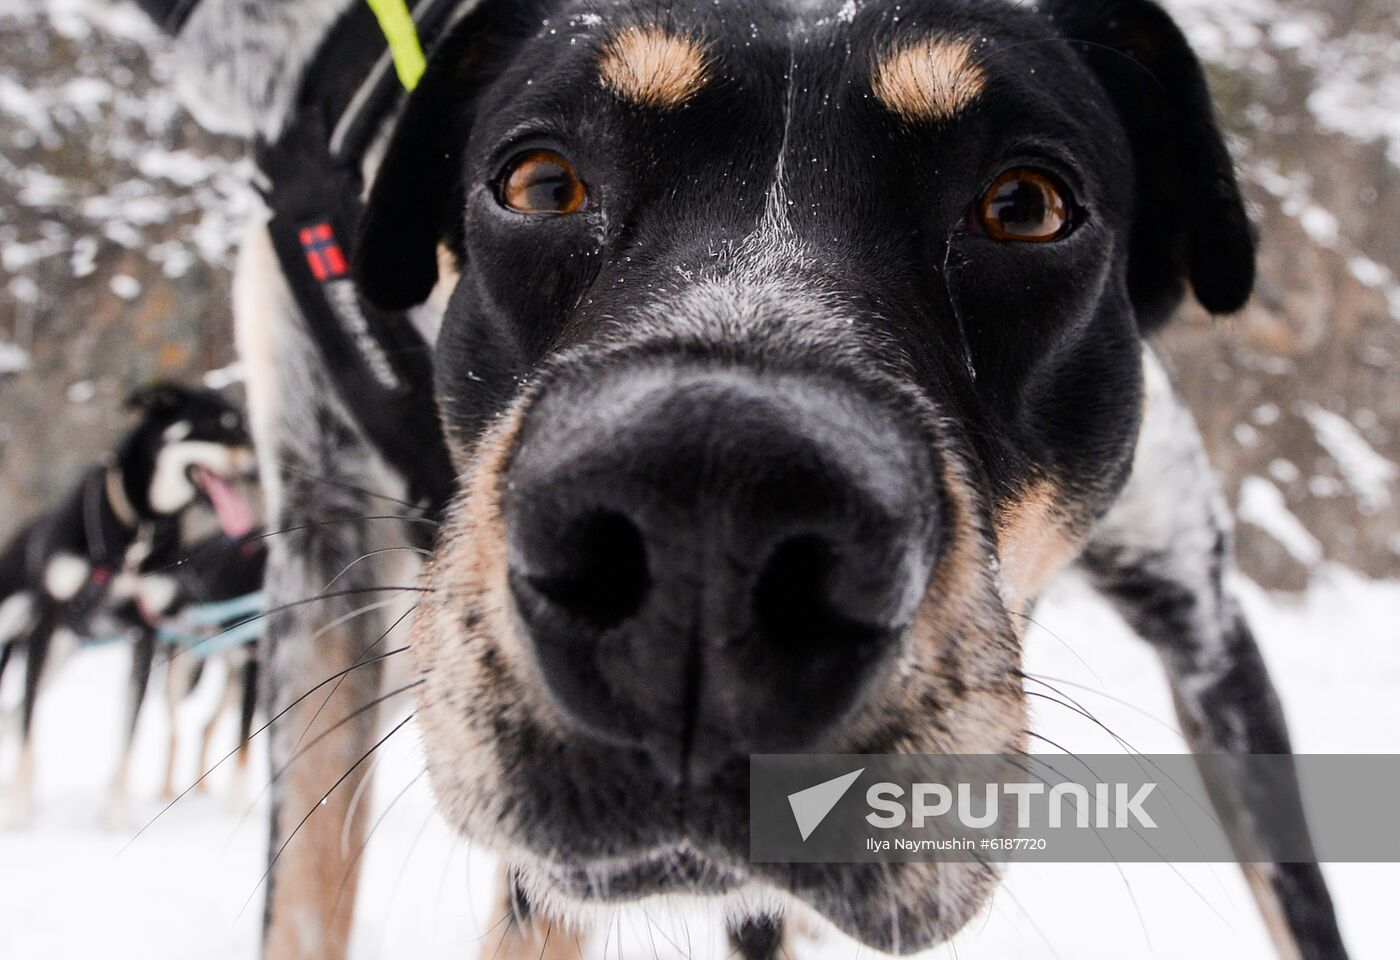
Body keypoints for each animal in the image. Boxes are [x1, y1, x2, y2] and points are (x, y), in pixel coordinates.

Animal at [1, 383, 252, 828]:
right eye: (215, 424)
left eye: (243, 424)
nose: (257, 469)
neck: (138, 530)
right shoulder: (47, 623)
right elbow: (30, 730)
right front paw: (17, 814)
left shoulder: (144, 634)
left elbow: (128, 735)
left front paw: (115, 818)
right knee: (20, 713)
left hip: (64, 651)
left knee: (15, 713)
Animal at [136, 1, 1349, 960]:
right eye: (538, 182)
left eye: (1027, 205)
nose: (702, 529)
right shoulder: (322, 542)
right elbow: (305, 903)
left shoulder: (1205, 632)